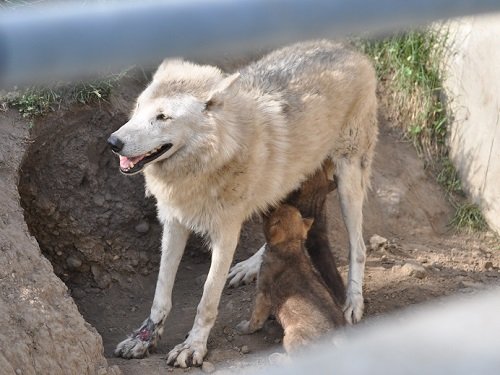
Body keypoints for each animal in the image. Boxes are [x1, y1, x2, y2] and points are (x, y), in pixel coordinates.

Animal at [107, 40, 376, 368]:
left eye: (163, 117)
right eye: (138, 108)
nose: (113, 142)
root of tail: (349, 49)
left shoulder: (225, 233)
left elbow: (208, 299)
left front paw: (193, 347)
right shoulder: (174, 222)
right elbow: (161, 294)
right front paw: (144, 339)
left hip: (349, 179)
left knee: (358, 246)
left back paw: (353, 302)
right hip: (288, 183)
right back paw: (250, 266)